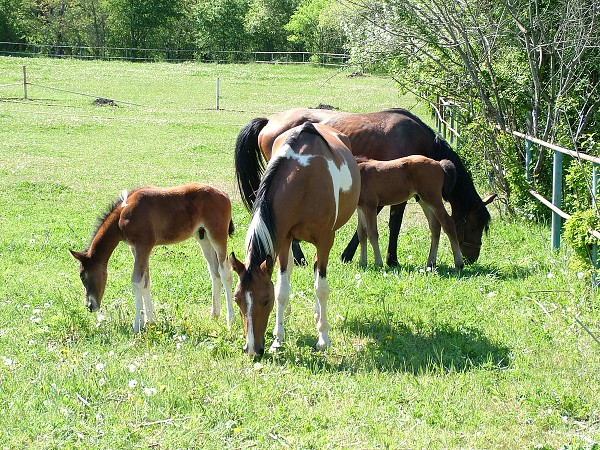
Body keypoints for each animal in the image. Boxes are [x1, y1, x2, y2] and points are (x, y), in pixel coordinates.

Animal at [69, 183, 234, 334]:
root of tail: (225, 195)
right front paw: (151, 321)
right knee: (214, 272)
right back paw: (214, 315)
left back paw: (230, 319)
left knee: (225, 271)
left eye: (82, 276)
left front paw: (138, 325)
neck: (123, 212)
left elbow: (136, 281)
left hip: (217, 234)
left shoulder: (144, 245)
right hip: (203, 237)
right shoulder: (136, 248)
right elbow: (146, 281)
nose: (90, 306)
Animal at [227, 121, 358, 356]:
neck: (305, 177)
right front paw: (278, 338)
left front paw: (323, 339)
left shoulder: (325, 240)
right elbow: (282, 288)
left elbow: (321, 289)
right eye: (237, 299)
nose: (252, 349)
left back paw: (318, 317)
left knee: (317, 273)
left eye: (265, 300)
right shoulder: (284, 238)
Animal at [234, 107, 496, 266]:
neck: (417, 138)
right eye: (475, 225)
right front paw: (387, 258)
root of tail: (270, 120)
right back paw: (299, 258)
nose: (473, 257)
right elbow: (391, 226)